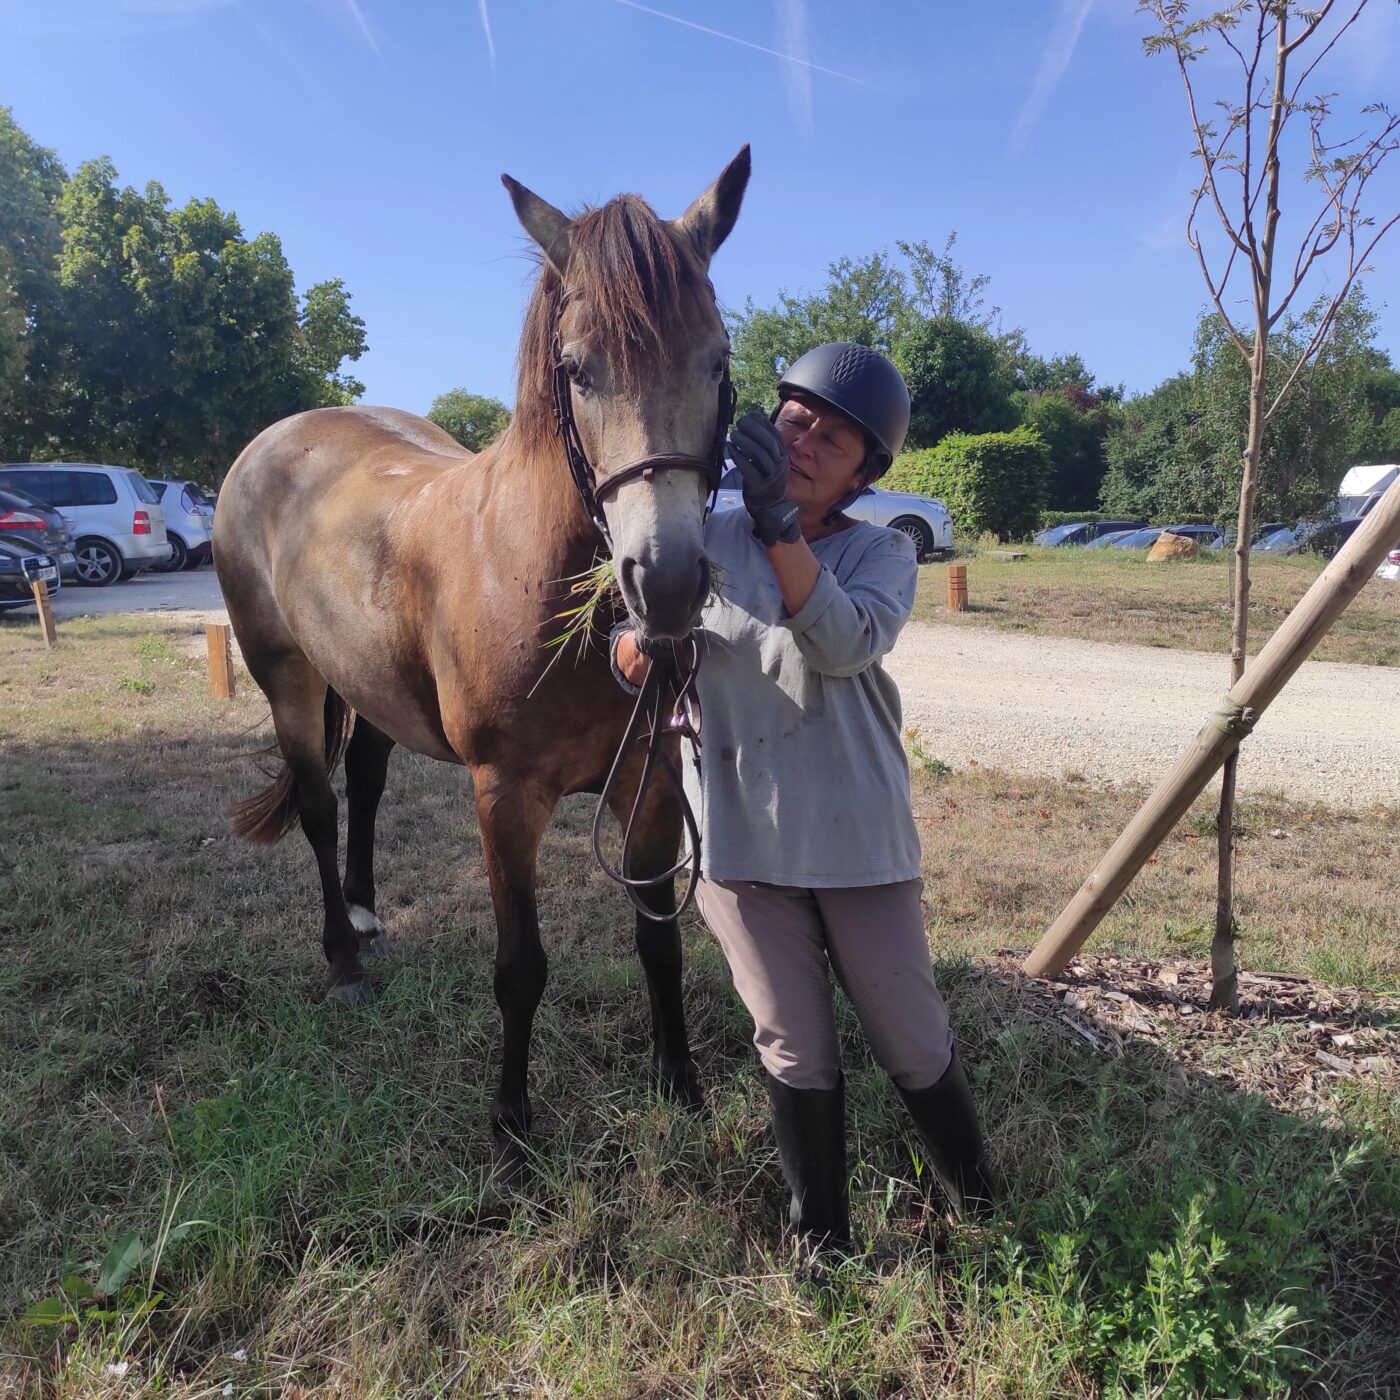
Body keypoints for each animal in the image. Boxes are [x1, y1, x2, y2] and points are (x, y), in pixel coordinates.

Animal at [213, 148, 751, 1176]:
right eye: (576, 370)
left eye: (718, 360)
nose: (663, 581)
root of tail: (273, 442)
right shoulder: (505, 796)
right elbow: (520, 967)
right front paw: (510, 1124)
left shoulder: (654, 777)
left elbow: (657, 938)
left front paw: (681, 1082)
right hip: (287, 678)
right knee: (319, 803)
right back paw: (343, 958)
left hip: (371, 686)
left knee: (367, 777)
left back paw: (367, 912)